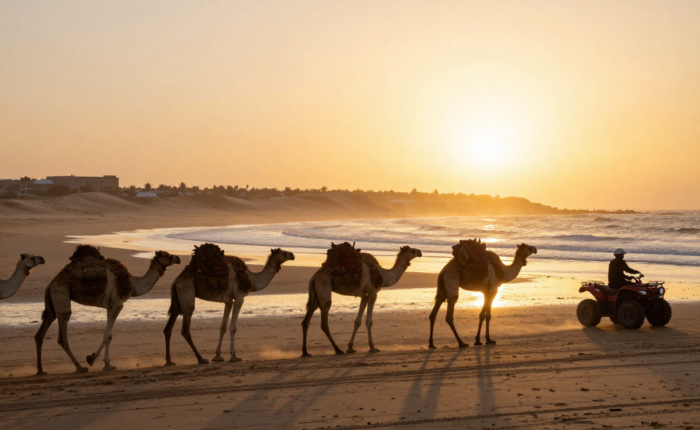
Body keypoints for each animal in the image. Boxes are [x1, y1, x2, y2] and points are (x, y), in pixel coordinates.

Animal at [34, 247, 181, 375]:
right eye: (167, 255)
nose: (178, 258)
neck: (133, 283)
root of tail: (51, 283)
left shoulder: (110, 306)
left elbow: (108, 335)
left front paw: (106, 364)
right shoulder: (118, 303)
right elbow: (108, 335)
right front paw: (93, 359)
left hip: (53, 302)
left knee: (42, 330)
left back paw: (41, 370)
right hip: (61, 295)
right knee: (63, 333)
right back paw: (80, 367)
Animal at [163, 247, 295, 365]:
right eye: (284, 252)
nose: (293, 255)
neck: (251, 279)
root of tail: (176, 281)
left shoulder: (228, 301)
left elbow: (223, 327)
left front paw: (217, 356)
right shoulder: (239, 298)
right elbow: (233, 327)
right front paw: (234, 356)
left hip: (177, 300)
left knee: (168, 327)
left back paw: (169, 361)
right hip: (187, 294)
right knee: (185, 329)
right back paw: (201, 359)